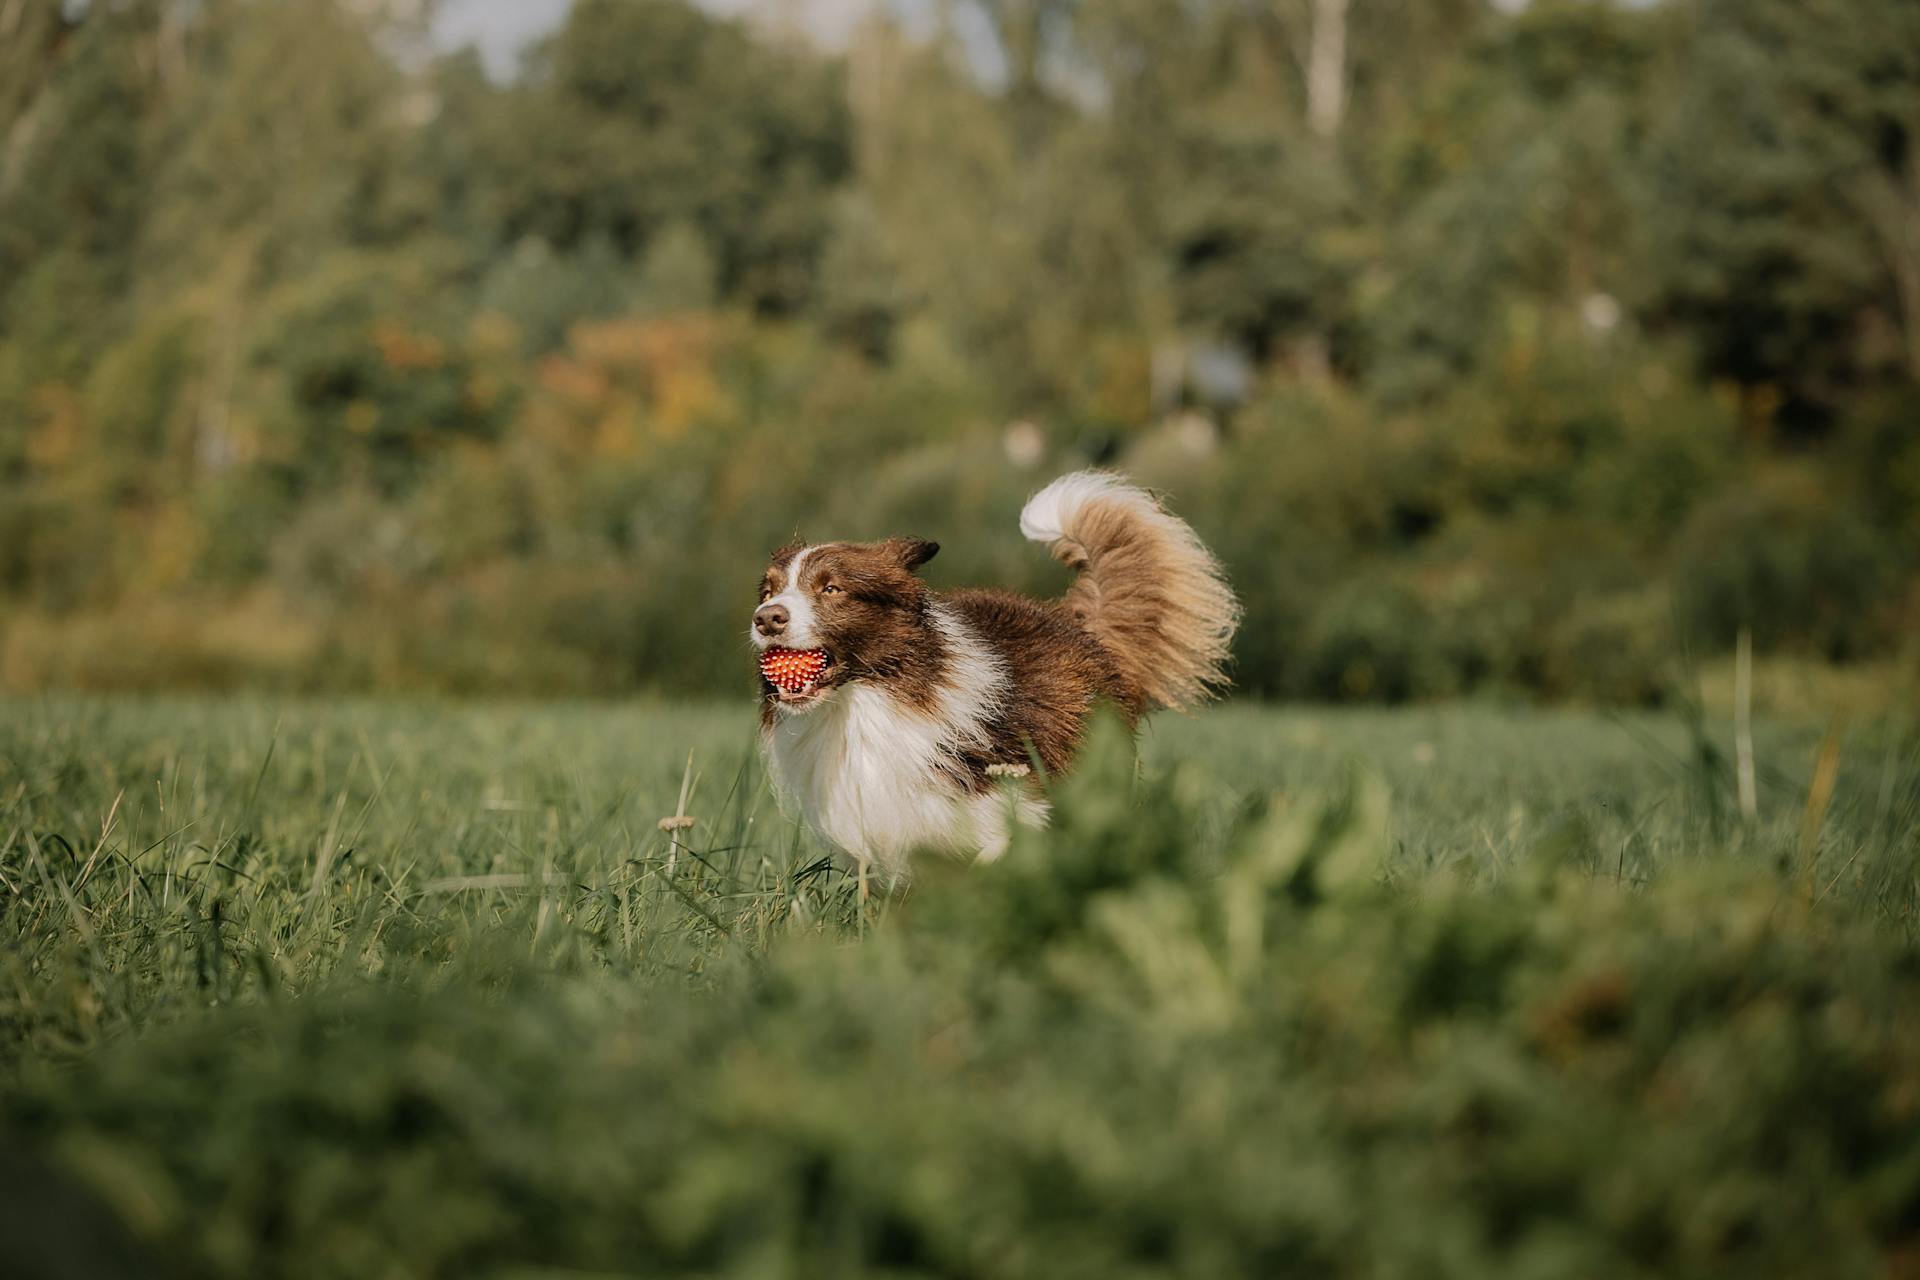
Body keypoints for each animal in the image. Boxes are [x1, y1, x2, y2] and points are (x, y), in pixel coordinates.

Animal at [748, 470, 1244, 882]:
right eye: (769, 591)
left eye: (831, 589)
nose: (766, 618)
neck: (862, 705)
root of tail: (1071, 620)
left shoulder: (1020, 805)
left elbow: (997, 855)